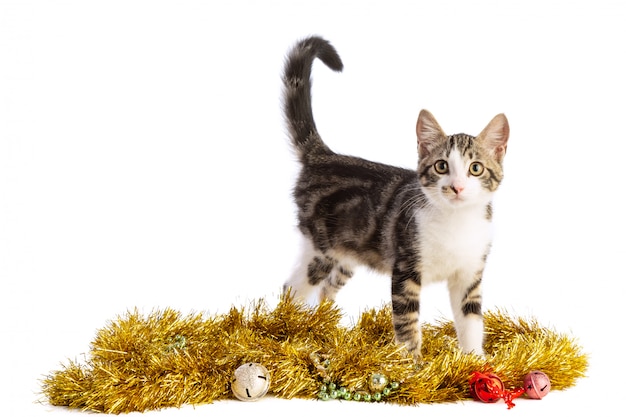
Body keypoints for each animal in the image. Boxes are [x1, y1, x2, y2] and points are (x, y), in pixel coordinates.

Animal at [280, 35, 504, 358]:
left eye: (476, 169)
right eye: (441, 166)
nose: (457, 187)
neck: (456, 221)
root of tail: (323, 157)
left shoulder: (469, 274)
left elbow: (471, 321)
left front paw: (475, 360)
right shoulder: (405, 270)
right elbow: (408, 325)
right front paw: (413, 366)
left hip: (348, 253)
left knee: (327, 288)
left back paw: (330, 330)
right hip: (320, 248)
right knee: (294, 288)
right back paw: (287, 328)